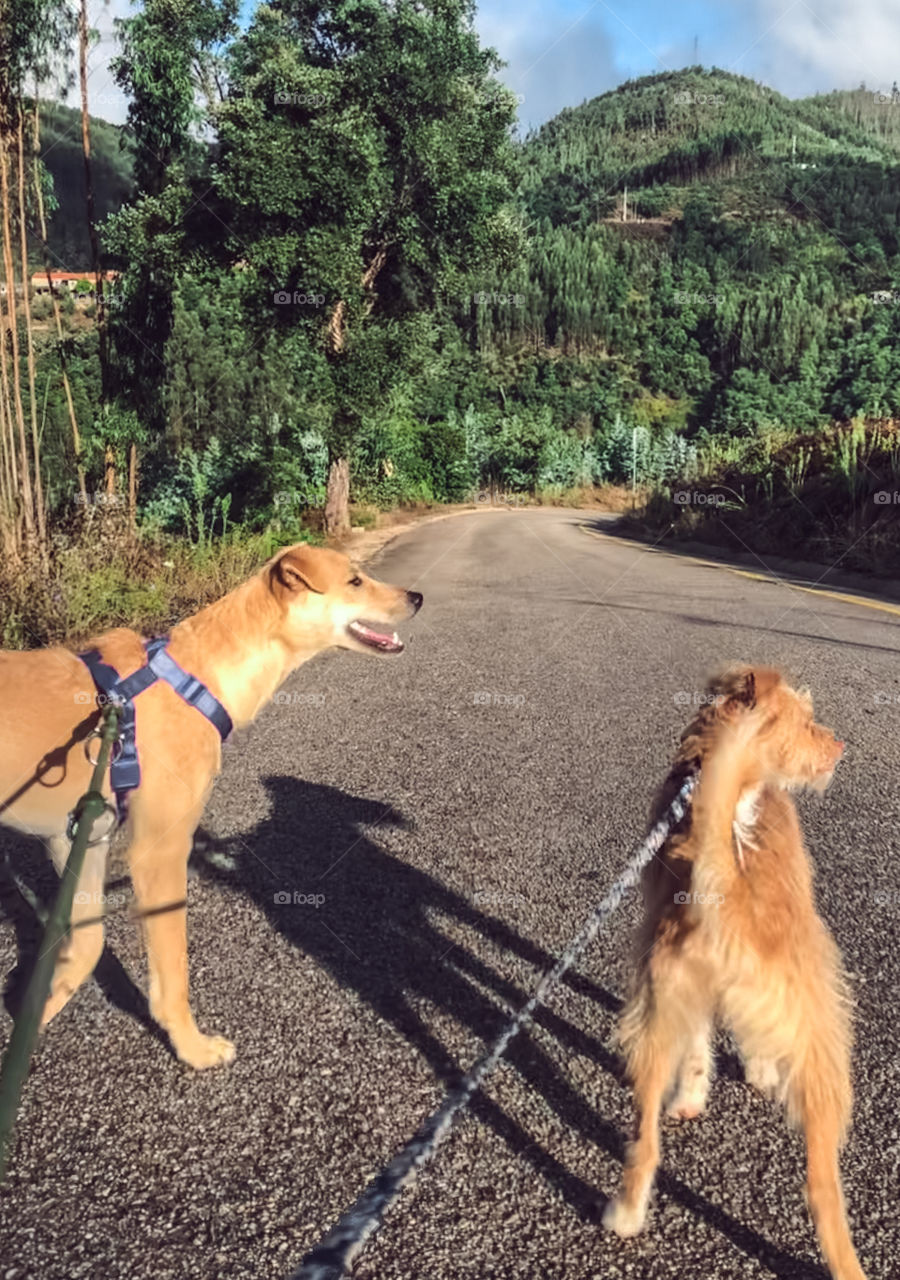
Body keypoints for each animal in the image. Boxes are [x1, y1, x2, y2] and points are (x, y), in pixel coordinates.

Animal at [0, 545, 422, 1064]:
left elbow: (89, 943)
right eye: (355, 581)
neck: (198, 678)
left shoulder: (80, 837)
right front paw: (191, 1046)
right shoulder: (158, 853)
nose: (418, 597)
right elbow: (172, 970)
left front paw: (35, 1012)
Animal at [604, 665, 865, 1274]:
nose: (839, 746)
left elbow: (703, 1047)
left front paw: (696, 1094)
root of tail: (731, 896)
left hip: (658, 1008)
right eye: (807, 719)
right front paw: (753, 1074)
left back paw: (625, 1213)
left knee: (645, 1138)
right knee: (823, 1186)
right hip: (818, 1037)